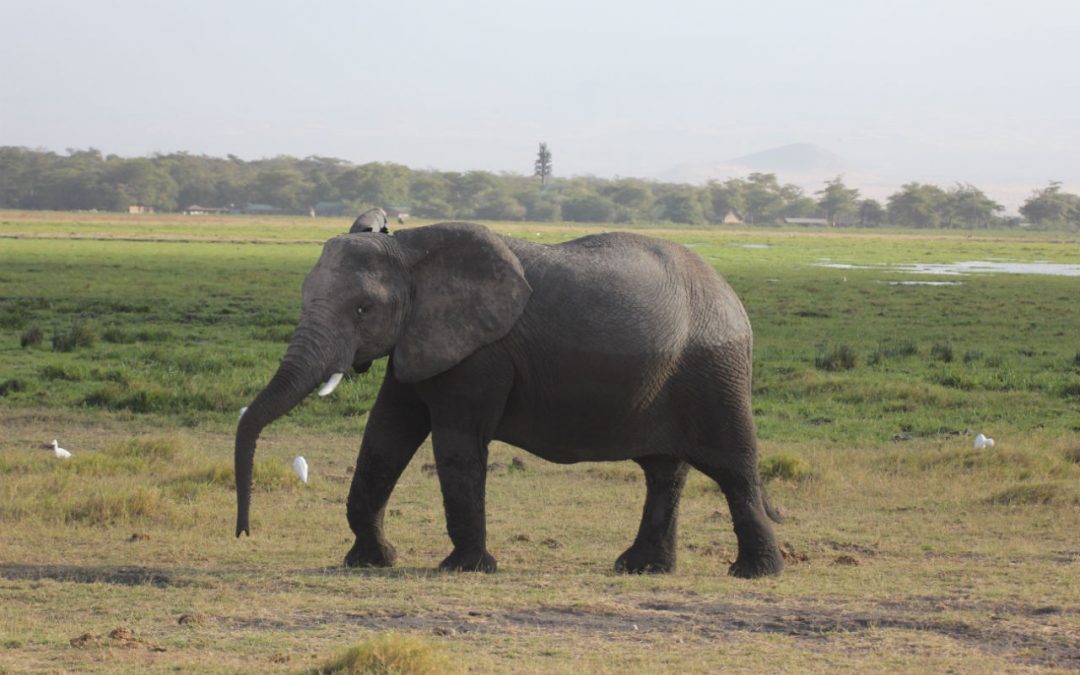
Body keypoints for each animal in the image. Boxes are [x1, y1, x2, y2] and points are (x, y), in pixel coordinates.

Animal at [232, 222, 781, 578]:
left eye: (363, 309)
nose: (243, 533)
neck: (410, 248)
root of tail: (733, 296)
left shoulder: (479, 353)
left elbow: (455, 445)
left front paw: (463, 569)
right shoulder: (422, 339)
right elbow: (385, 437)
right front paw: (370, 561)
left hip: (714, 371)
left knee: (732, 466)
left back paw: (754, 573)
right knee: (664, 471)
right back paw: (642, 569)